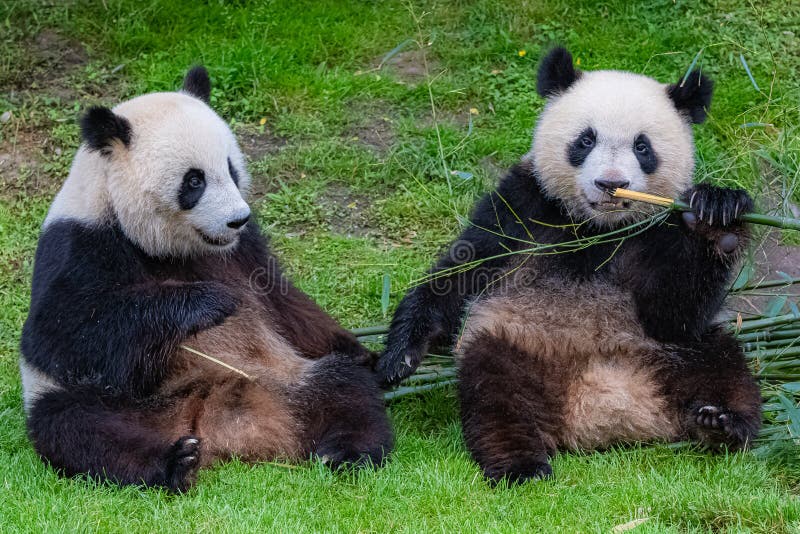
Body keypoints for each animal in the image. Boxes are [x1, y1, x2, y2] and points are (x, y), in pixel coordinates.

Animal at [20, 67, 393, 492]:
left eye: (230, 168)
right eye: (194, 181)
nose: (237, 219)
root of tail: (220, 429)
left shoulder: (245, 250)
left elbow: (285, 303)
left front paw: (367, 351)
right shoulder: (80, 244)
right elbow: (60, 334)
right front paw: (209, 303)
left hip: (289, 377)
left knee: (346, 390)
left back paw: (348, 451)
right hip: (113, 403)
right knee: (78, 427)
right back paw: (174, 463)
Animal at [376, 47, 762, 483]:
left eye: (642, 147)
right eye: (585, 139)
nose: (611, 183)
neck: (597, 228)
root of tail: (607, 409)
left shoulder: (656, 231)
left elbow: (674, 315)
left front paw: (718, 217)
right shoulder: (523, 206)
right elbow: (460, 274)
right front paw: (398, 358)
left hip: (679, 356)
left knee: (724, 364)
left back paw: (722, 424)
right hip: (516, 340)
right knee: (494, 390)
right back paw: (520, 465)